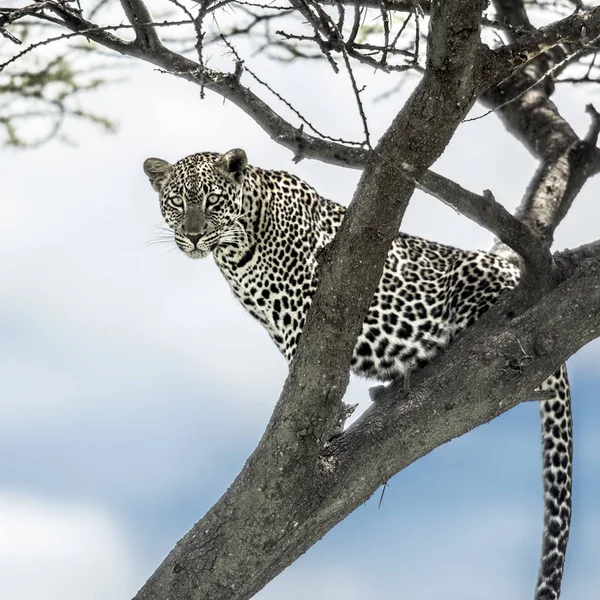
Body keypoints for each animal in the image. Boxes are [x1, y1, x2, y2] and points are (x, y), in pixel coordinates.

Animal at [143, 146, 576, 600]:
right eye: (177, 202)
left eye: (212, 201)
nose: (192, 236)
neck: (237, 249)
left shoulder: (304, 310)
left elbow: (309, 382)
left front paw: (321, 434)